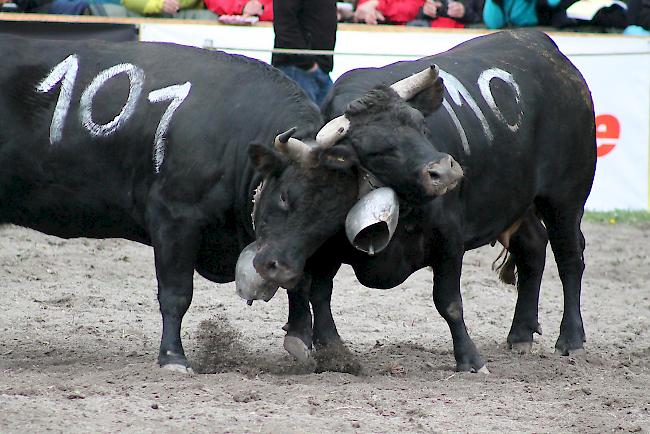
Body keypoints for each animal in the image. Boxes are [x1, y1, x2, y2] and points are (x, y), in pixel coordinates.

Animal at [0, 35, 458, 372]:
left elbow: (306, 285)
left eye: (331, 220)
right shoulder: (174, 220)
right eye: (286, 196)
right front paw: (173, 358)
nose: (277, 268)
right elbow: (176, 293)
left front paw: (302, 337)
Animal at [251, 28, 596, 372]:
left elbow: (449, 303)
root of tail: (545, 48)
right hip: (515, 202)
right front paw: (334, 353)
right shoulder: (325, 249)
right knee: (533, 248)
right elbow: (320, 294)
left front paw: (469, 359)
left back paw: (571, 339)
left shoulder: (449, 238)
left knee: (570, 259)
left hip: (565, 198)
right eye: (376, 150)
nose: (444, 171)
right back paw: (521, 333)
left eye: (421, 126)